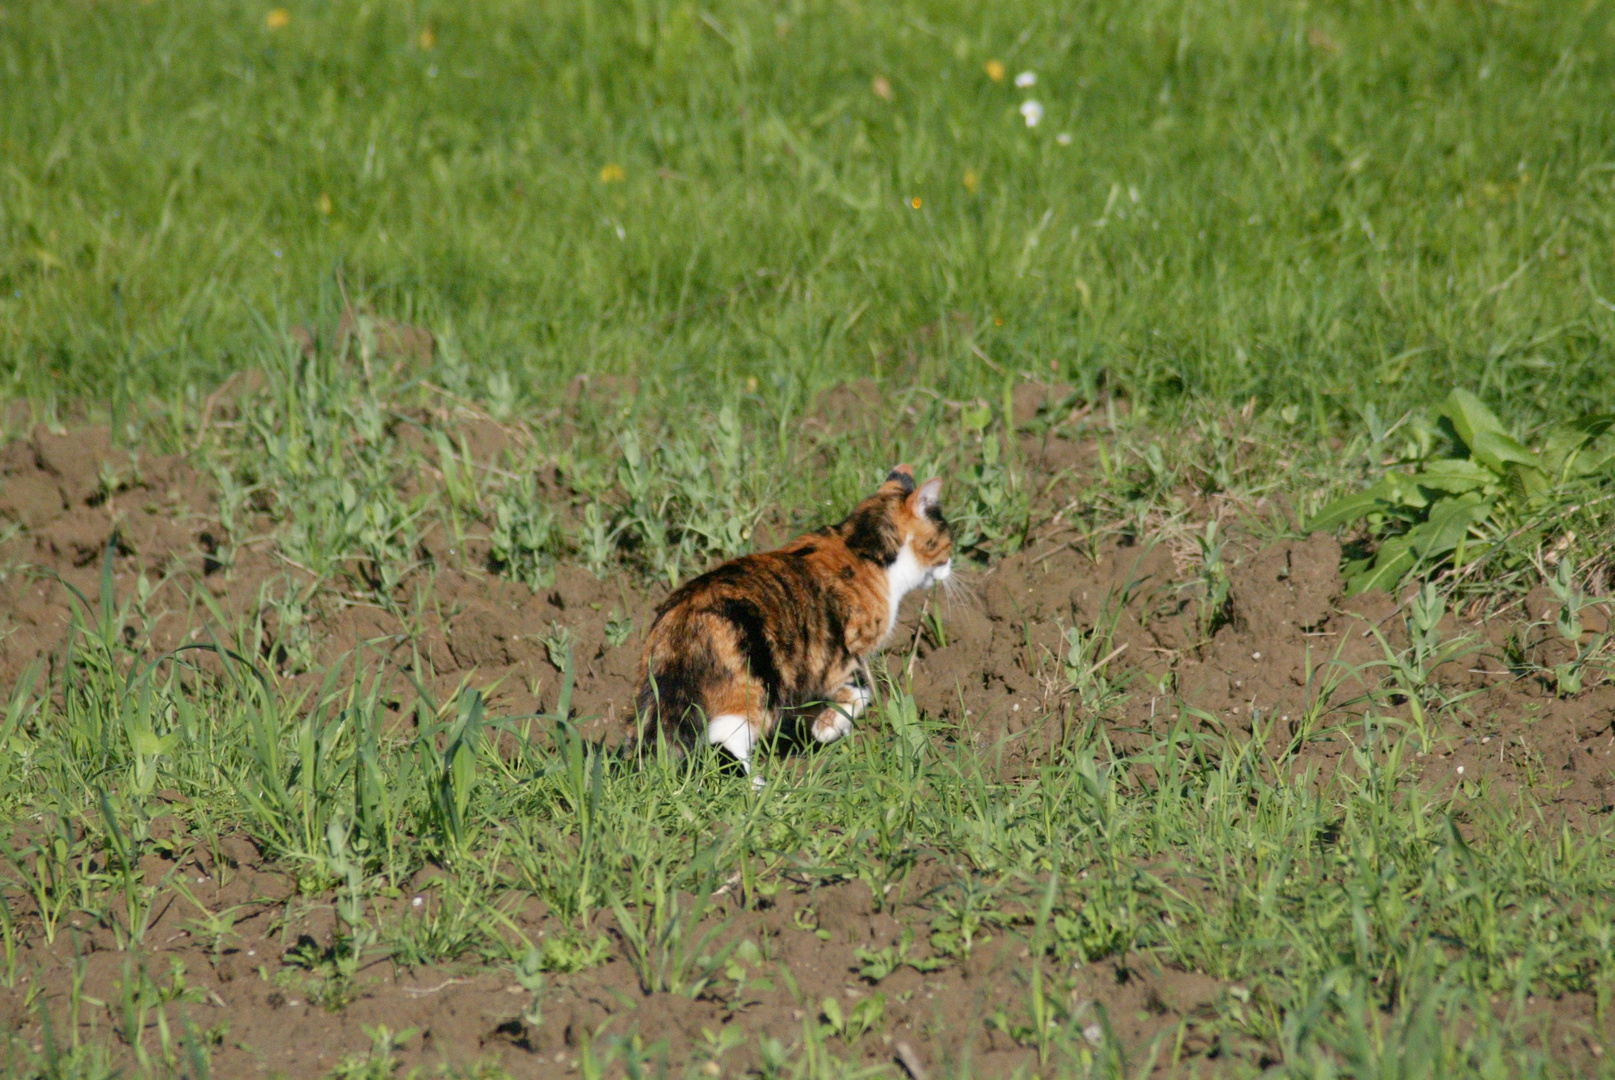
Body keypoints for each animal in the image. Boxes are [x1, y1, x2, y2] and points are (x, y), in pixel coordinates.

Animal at [636, 464, 949, 774]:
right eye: (948, 544)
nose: (950, 568)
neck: (858, 545)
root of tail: (683, 615)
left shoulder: (811, 668)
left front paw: (821, 726)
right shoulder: (846, 653)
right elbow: (861, 690)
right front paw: (829, 727)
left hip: (660, 693)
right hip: (752, 683)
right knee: (727, 739)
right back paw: (757, 783)